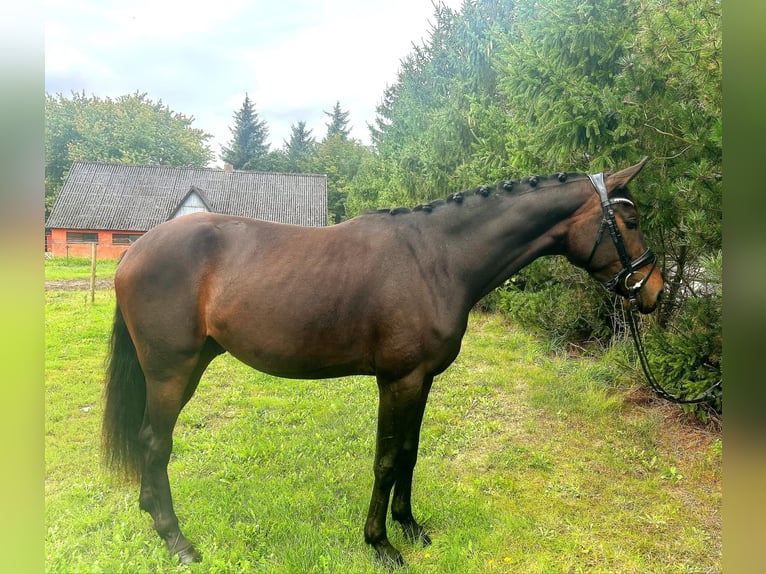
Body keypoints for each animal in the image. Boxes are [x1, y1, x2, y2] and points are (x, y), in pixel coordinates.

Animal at [102, 158, 664, 568]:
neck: (437, 260)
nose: (654, 291)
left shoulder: (421, 380)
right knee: (155, 443)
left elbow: (410, 453)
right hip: (171, 372)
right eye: (632, 220)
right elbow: (387, 459)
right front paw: (380, 544)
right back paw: (177, 541)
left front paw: (410, 526)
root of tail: (135, 252)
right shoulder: (398, 380)